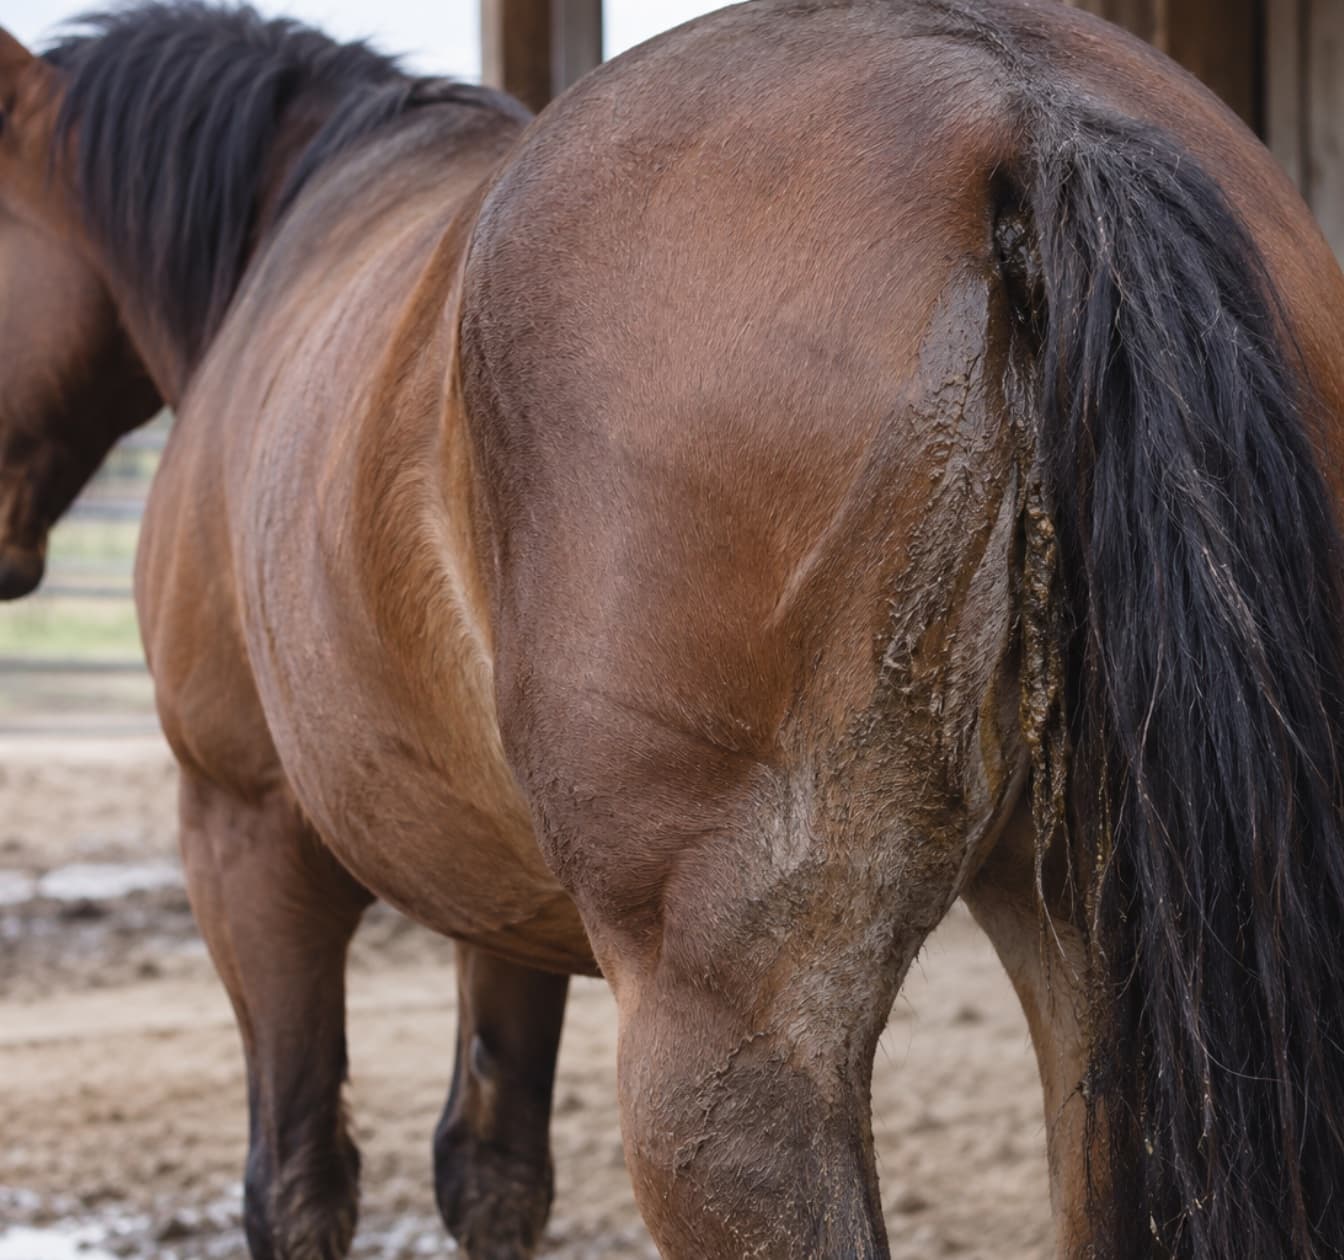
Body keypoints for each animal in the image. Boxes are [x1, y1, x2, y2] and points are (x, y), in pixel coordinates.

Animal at [3, 0, 1344, 1256]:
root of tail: (1016, 107)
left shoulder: (247, 839)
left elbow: (296, 1184)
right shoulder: (507, 909)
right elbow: (494, 1173)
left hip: (725, 1057)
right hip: (1095, 972)